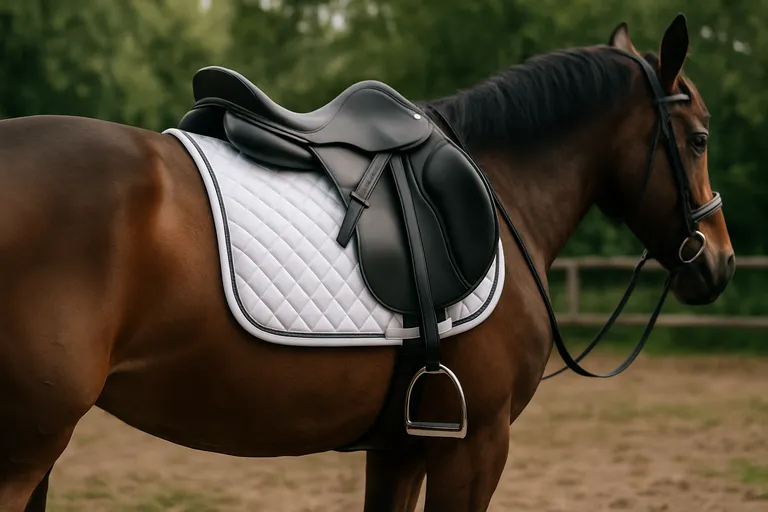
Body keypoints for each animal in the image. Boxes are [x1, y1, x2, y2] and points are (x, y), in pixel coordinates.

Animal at [0, 14, 734, 512]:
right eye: (699, 139)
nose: (721, 263)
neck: (500, 188)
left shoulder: (400, 447)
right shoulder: (476, 444)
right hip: (25, 451)